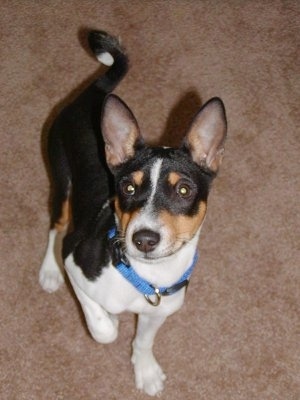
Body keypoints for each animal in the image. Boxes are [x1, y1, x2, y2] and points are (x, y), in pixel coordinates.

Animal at [39, 29, 227, 396]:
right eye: (127, 188)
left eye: (184, 191)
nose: (144, 239)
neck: (146, 277)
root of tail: (95, 95)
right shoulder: (74, 258)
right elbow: (103, 329)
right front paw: (108, 317)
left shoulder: (160, 310)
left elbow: (142, 341)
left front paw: (146, 370)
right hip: (62, 180)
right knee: (56, 224)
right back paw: (49, 271)